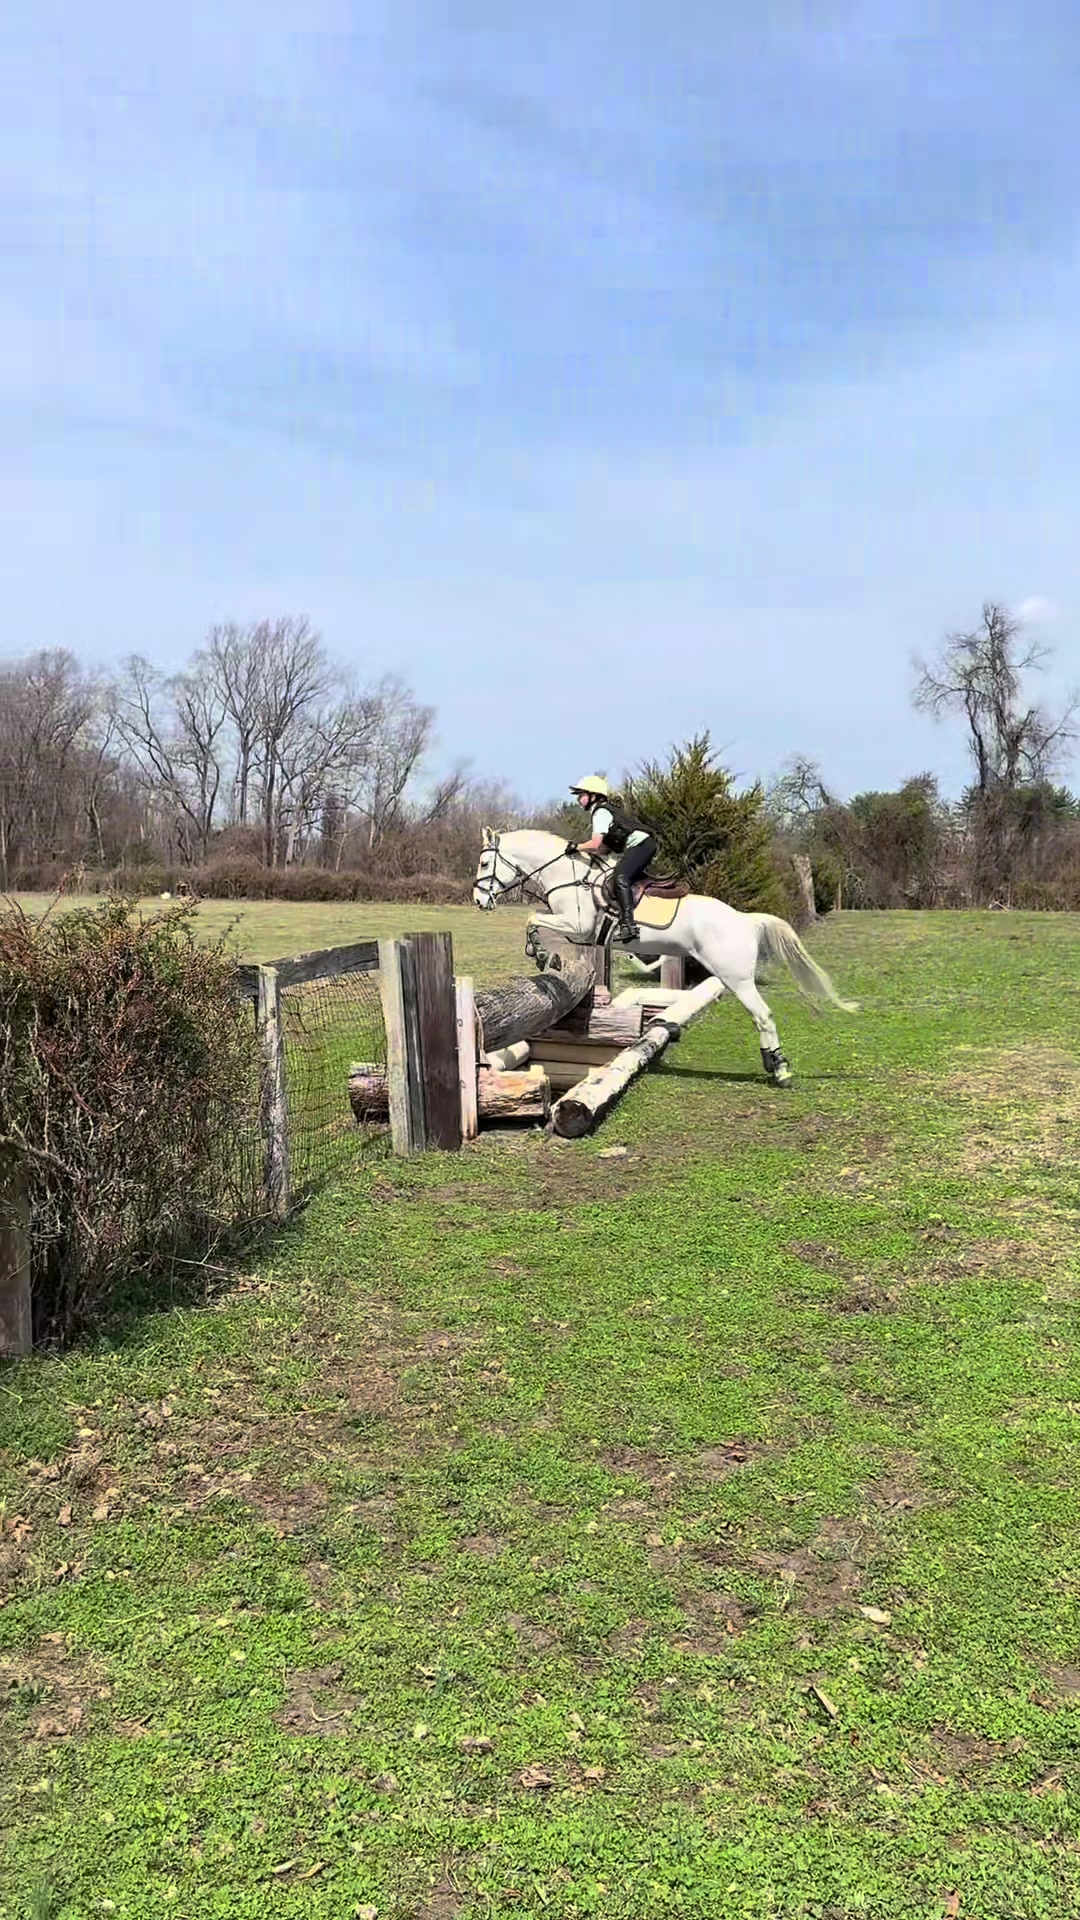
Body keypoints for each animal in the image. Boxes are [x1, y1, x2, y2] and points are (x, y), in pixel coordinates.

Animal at [472, 828, 858, 1085]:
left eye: (485, 862)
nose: (478, 901)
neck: (568, 875)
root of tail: (745, 920)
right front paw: (545, 955)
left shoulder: (577, 925)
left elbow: (531, 919)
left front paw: (539, 953)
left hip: (736, 978)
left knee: (763, 1015)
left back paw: (779, 1069)